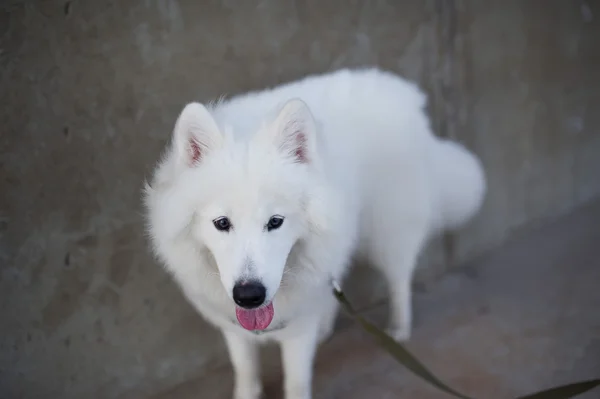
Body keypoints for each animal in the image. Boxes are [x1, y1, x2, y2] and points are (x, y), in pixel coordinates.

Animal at [145, 69, 488, 399]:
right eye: (221, 223)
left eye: (275, 221)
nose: (249, 295)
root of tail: (408, 96)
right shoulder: (236, 329)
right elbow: (245, 371)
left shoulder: (298, 330)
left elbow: (296, 384)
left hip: (388, 234)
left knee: (399, 280)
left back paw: (399, 329)